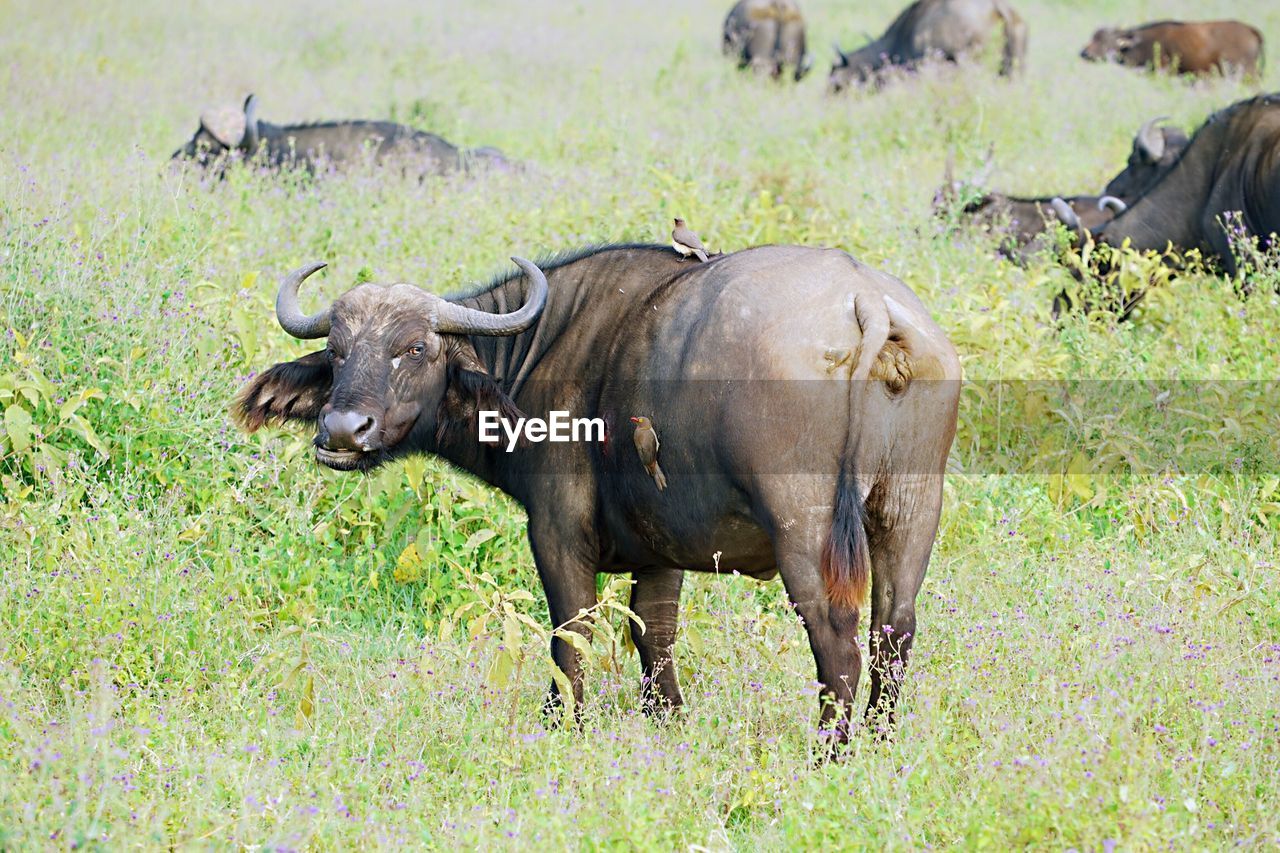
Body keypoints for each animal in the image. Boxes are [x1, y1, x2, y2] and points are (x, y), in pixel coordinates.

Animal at [238, 242, 962, 742]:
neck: (540, 352)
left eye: (415, 347)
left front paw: (561, 725)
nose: (342, 430)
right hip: (909, 513)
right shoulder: (662, 549)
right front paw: (668, 721)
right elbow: (654, 635)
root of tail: (865, 300)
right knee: (895, 631)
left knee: (837, 639)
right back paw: (879, 743)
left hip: (804, 528)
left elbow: (572, 632)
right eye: (337, 351)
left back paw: (828, 754)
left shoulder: (557, 533)